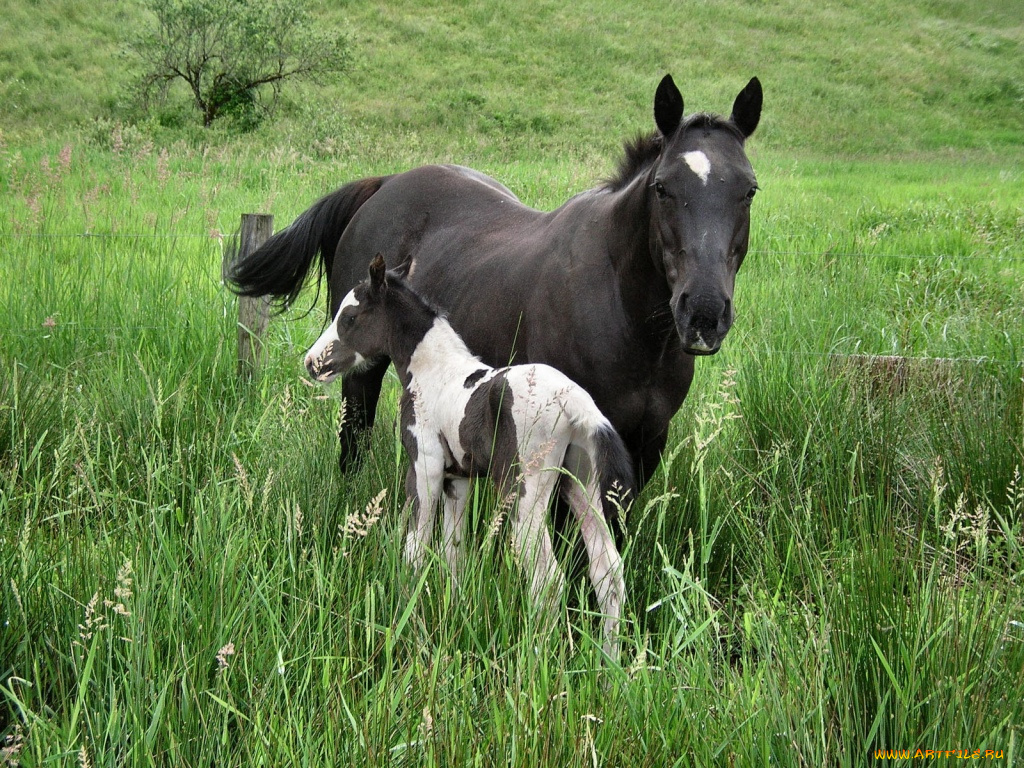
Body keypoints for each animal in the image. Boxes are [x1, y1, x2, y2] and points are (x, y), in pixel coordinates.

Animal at [232, 76, 761, 493]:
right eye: (662, 188)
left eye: (749, 189)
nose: (704, 312)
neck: (626, 318)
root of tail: (384, 185)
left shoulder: (647, 441)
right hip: (361, 370)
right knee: (353, 441)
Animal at [303, 256, 626, 659]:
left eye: (348, 318)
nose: (311, 362)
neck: (432, 370)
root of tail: (576, 403)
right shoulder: (458, 479)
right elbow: (453, 552)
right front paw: (452, 611)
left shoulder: (424, 465)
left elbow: (415, 548)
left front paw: (409, 622)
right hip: (582, 483)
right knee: (608, 570)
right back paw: (610, 661)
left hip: (524, 492)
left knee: (547, 578)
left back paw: (537, 658)